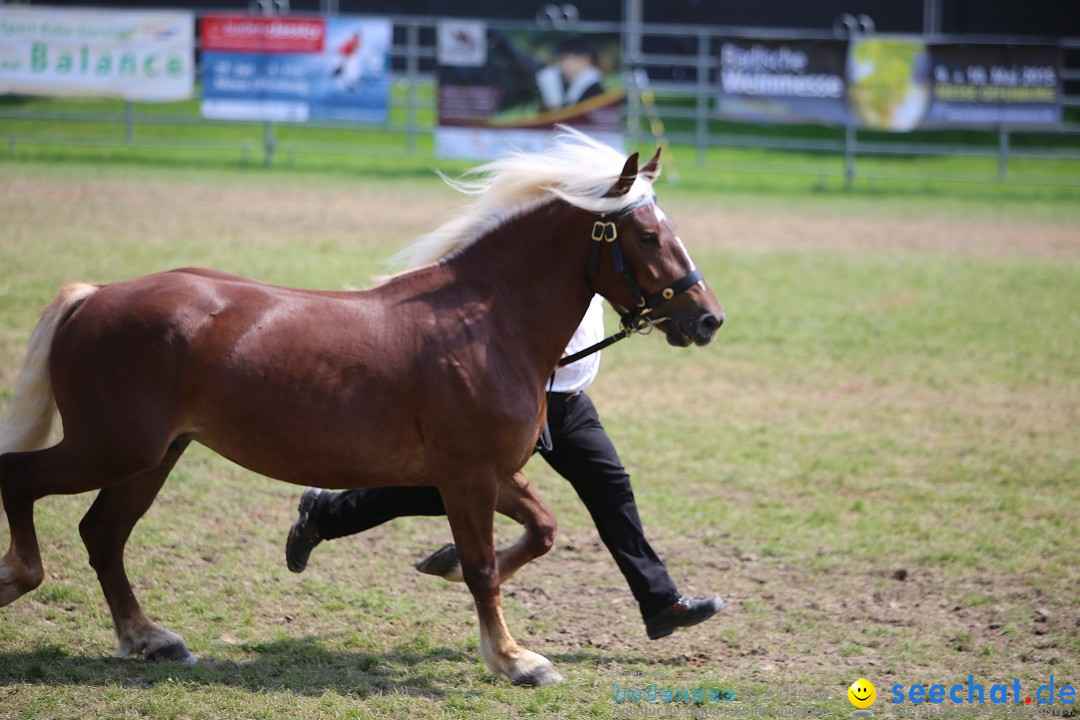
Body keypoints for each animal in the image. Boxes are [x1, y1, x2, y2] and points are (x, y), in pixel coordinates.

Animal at [2, 132, 725, 690]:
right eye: (650, 236)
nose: (708, 318)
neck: (485, 324)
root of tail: (93, 296)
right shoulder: (467, 476)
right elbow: (486, 568)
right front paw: (515, 659)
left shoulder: (489, 474)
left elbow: (541, 530)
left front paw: (443, 565)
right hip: (112, 447)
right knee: (23, 478)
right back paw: (20, 577)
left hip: (151, 455)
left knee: (102, 534)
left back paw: (151, 639)